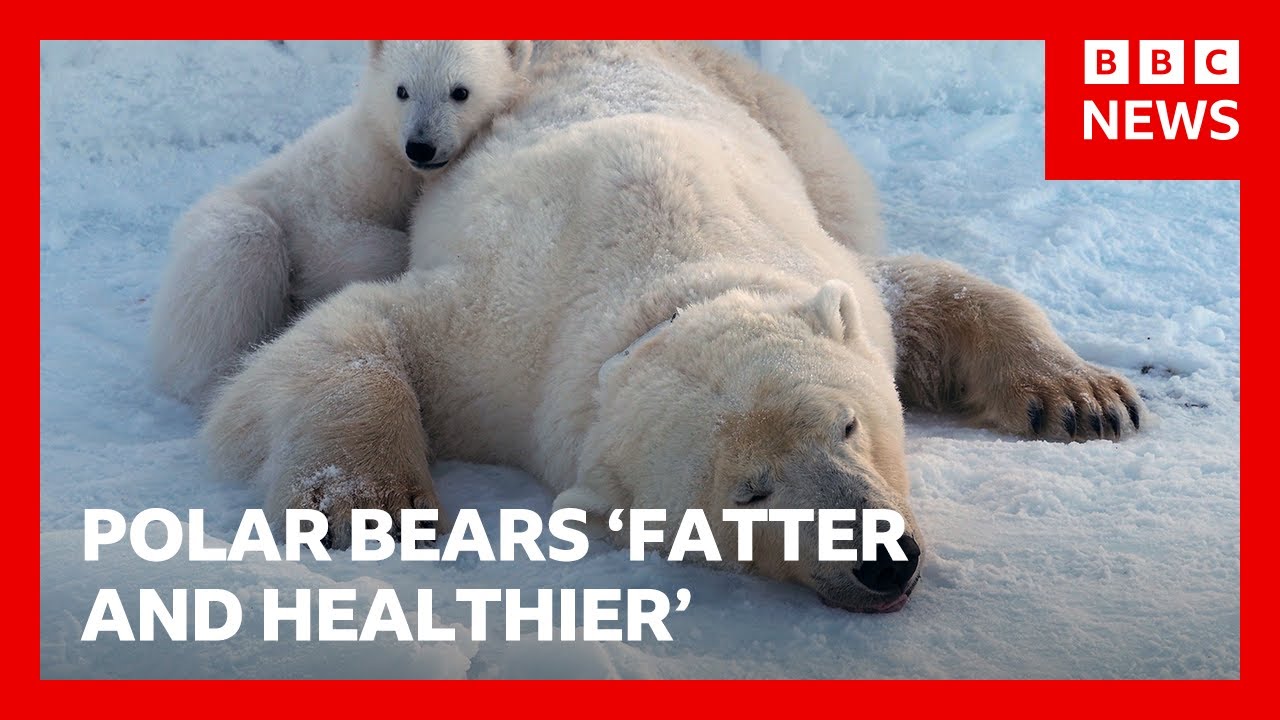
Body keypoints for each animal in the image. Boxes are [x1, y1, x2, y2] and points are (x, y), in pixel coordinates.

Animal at [148, 40, 532, 407]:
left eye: (460, 91)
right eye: (402, 90)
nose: (420, 146)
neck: (394, 163)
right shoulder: (336, 186)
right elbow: (333, 244)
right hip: (225, 226)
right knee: (239, 252)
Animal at [202, 41, 1144, 613]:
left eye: (846, 424)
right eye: (751, 495)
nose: (883, 561)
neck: (668, 275)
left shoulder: (812, 257)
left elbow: (918, 292)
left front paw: (1082, 398)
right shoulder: (503, 344)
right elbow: (355, 332)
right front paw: (367, 507)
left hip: (778, 115)